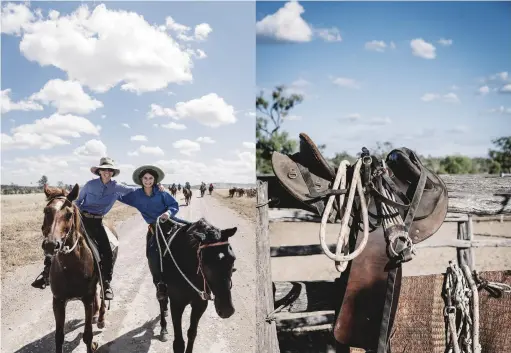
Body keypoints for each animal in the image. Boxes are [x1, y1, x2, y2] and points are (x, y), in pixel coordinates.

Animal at [42, 183, 119, 350]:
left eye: (69, 214)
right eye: (46, 211)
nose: (51, 244)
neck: (70, 267)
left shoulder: (86, 299)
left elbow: (88, 335)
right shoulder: (58, 301)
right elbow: (59, 337)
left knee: (103, 292)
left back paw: (101, 318)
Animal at [154, 217, 238, 352]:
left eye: (233, 259)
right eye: (205, 263)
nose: (227, 310)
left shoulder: (200, 304)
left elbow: (192, 333)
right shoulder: (176, 304)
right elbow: (178, 343)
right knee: (162, 301)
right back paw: (163, 328)